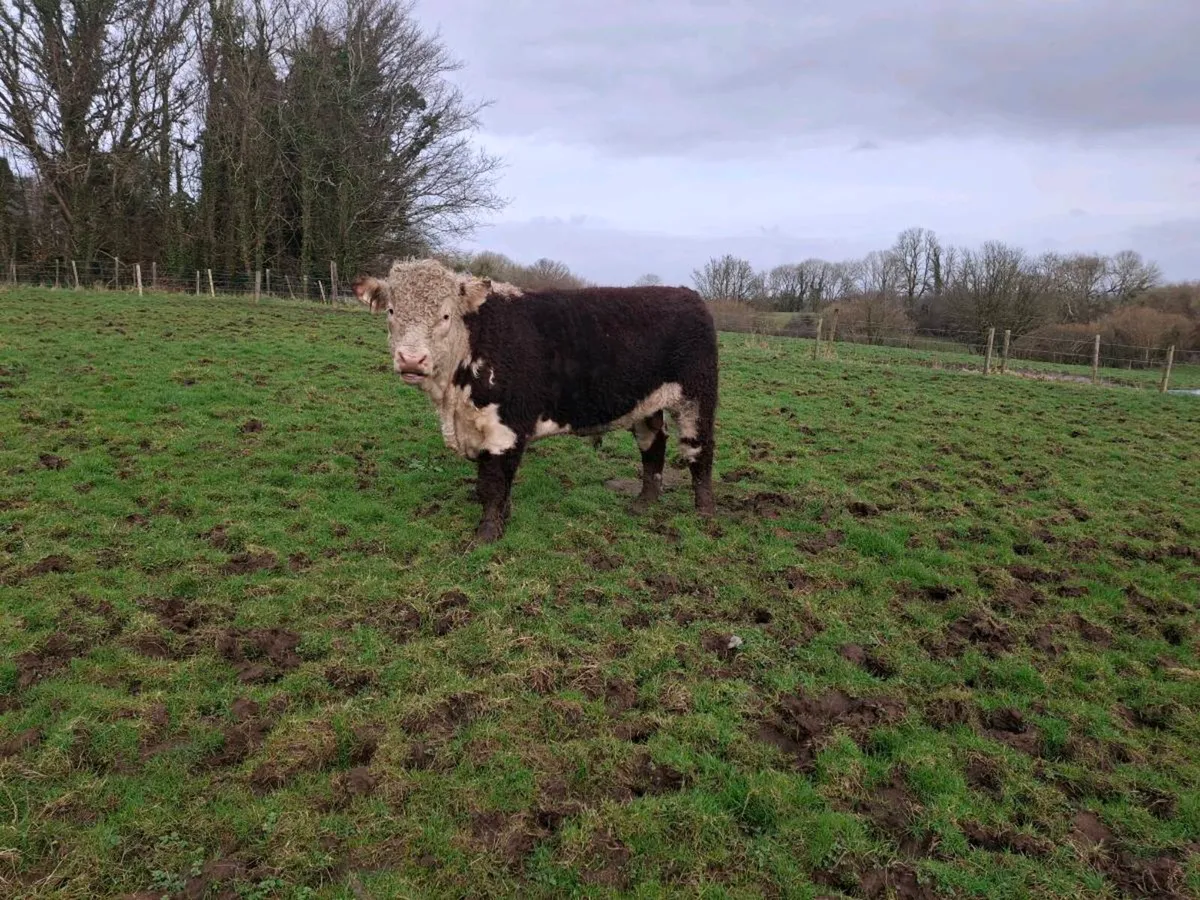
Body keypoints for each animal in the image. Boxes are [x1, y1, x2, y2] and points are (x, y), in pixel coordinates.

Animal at [352, 259, 718, 543]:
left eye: (444, 316)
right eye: (391, 311)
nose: (411, 359)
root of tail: (686, 294)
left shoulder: (506, 426)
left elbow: (493, 482)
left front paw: (487, 533)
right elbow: (493, 484)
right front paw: (503, 518)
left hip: (697, 396)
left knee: (699, 449)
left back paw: (704, 512)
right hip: (646, 402)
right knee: (653, 444)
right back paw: (644, 502)